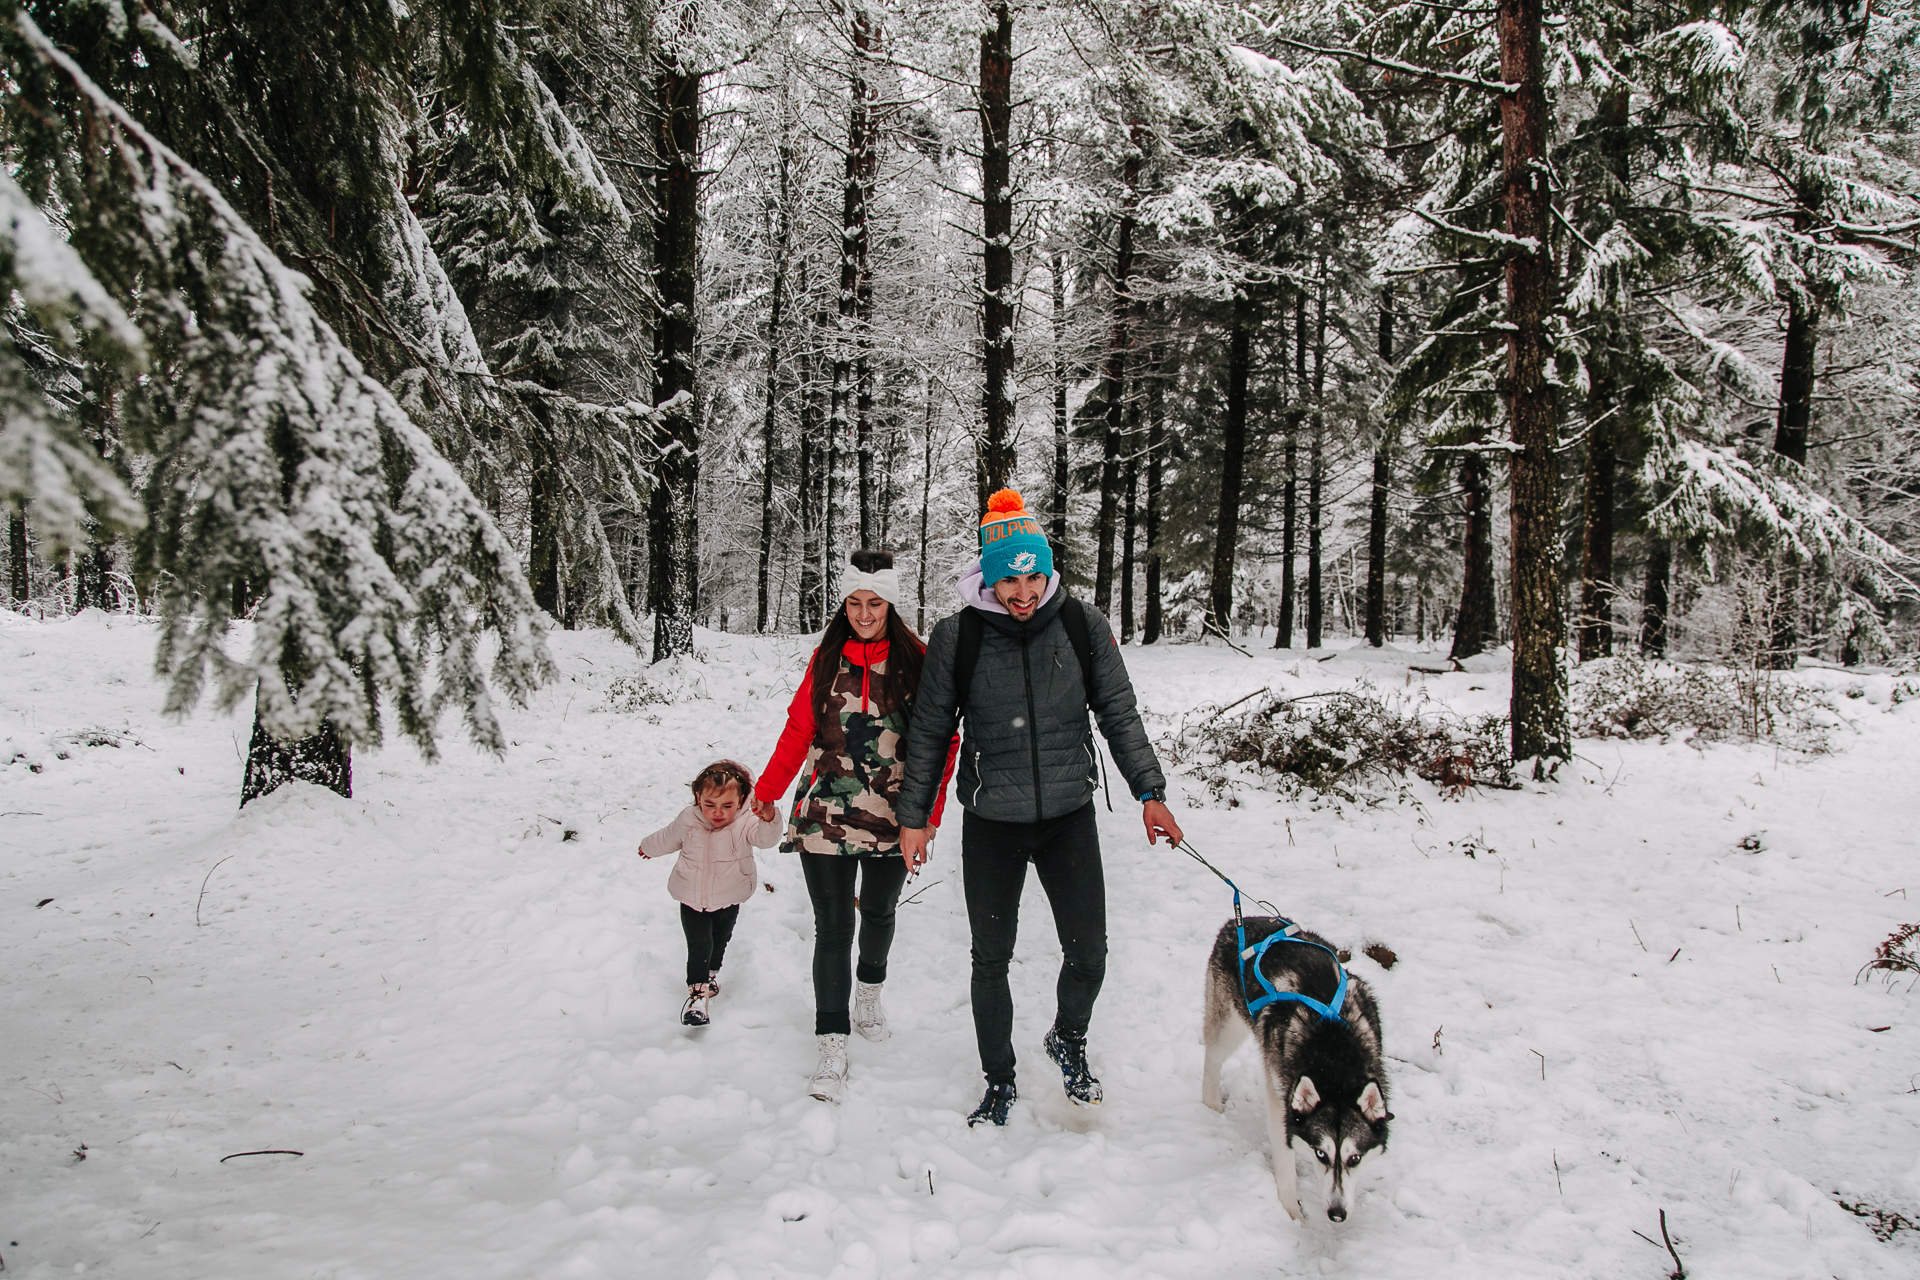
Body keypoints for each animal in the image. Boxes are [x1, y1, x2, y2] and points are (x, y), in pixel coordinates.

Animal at [1205, 917, 1390, 1228]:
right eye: (1321, 1154)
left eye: (1354, 1159)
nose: (1337, 1214)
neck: (1334, 1053)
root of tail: (1239, 920)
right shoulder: (1281, 1099)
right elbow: (1285, 1158)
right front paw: (1291, 1209)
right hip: (1228, 1029)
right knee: (1212, 1059)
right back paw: (1211, 1108)